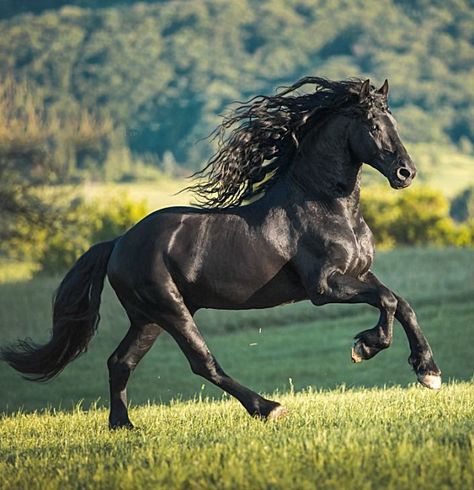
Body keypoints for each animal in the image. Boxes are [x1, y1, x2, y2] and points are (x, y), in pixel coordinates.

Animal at [1, 75, 442, 424]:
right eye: (373, 124)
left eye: (394, 122)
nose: (406, 173)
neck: (327, 205)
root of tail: (119, 243)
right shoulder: (324, 287)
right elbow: (387, 301)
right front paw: (365, 347)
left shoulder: (359, 274)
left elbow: (401, 303)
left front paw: (428, 371)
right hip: (170, 310)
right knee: (203, 363)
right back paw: (268, 408)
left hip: (148, 318)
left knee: (119, 362)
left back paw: (122, 425)